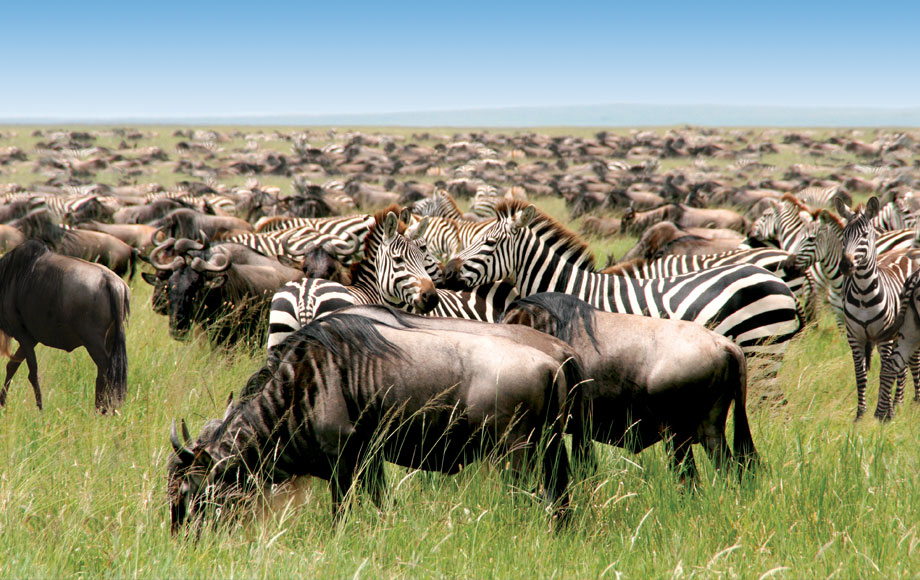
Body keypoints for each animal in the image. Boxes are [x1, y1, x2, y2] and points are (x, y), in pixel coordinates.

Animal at [832, 196, 920, 422]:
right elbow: (860, 375)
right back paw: (898, 404)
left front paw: (884, 410)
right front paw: (860, 415)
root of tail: (909, 251)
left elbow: (883, 372)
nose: (845, 265)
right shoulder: (854, 338)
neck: (863, 295)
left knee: (910, 364)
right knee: (903, 366)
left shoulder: (885, 339)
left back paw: (903, 404)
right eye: (844, 235)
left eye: (865, 235)